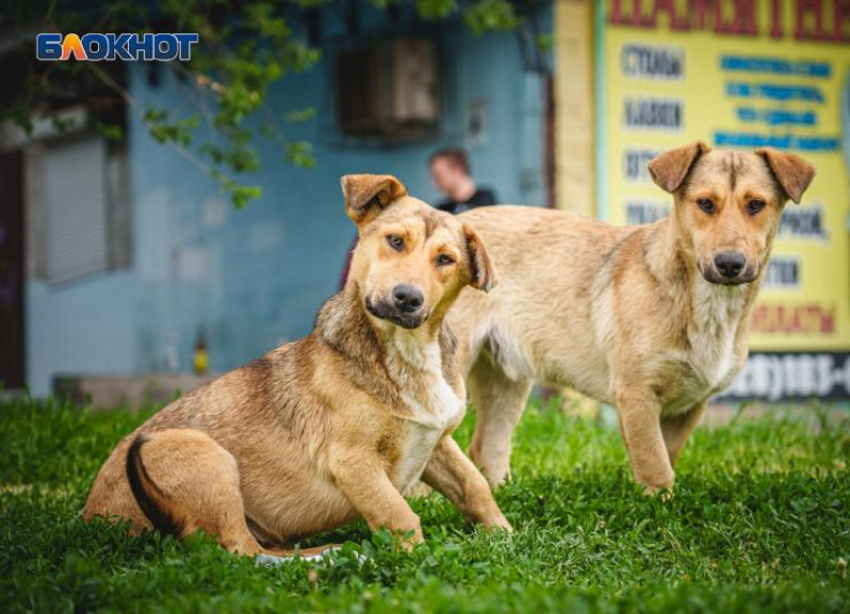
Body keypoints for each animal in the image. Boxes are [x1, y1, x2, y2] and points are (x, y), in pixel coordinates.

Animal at [83, 174, 510, 560]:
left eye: (445, 259)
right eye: (395, 241)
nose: (407, 298)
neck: (406, 351)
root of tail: (92, 520)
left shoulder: (436, 442)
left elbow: (475, 485)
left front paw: (505, 536)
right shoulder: (352, 460)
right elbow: (400, 515)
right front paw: (415, 559)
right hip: (198, 452)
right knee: (241, 550)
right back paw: (327, 553)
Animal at [448, 143, 812, 496]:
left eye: (756, 205)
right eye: (705, 203)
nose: (730, 264)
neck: (704, 304)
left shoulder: (687, 407)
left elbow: (666, 458)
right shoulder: (636, 394)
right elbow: (655, 466)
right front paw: (659, 509)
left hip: (506, 379)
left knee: (487, 448)